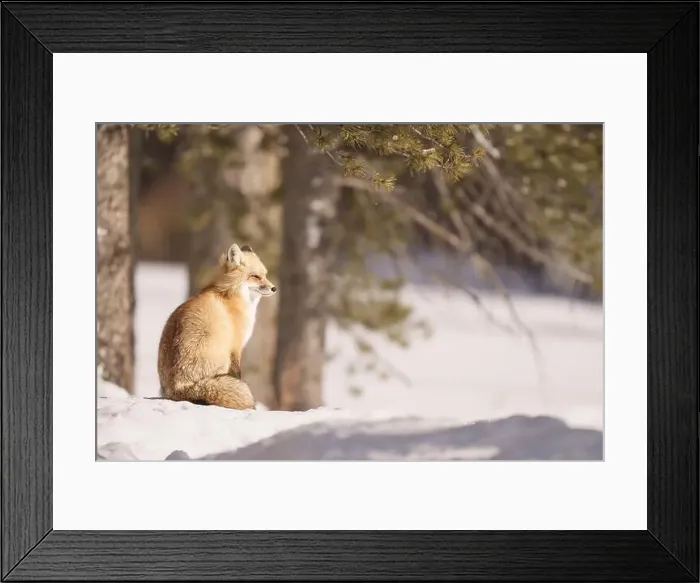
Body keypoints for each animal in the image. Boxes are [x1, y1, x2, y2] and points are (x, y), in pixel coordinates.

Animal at [157, 243, 277, 410]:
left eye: (265, 275)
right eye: (255, 276)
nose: (274, 288)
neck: (231, 295)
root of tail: (178, 389)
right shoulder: (235, 347)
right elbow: (238, 374)